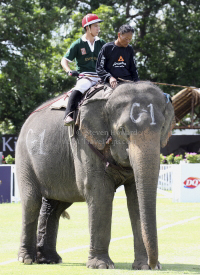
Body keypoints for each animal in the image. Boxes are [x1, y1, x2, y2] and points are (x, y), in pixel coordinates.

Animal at [16, 81, 175, 270]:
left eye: (162, 128)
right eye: (122, 130)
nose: (154, 264)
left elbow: (136, 195)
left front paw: (143, 267)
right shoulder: (84, 142)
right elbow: (99, 193)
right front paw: (101, 266)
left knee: (55, 206)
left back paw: (49, 259)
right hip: (24, 157)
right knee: (31, 201)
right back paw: (26, 259)